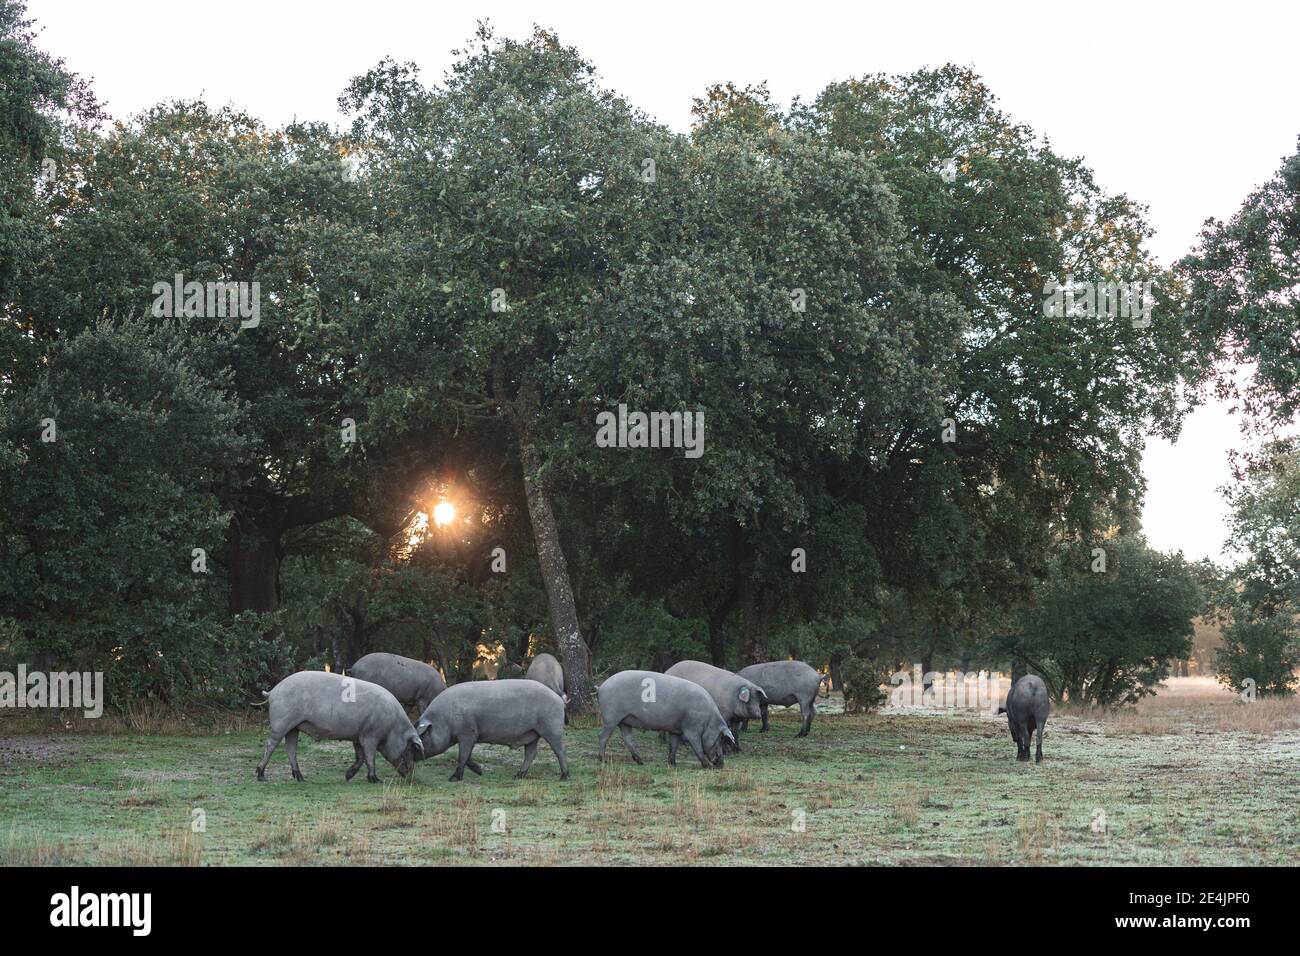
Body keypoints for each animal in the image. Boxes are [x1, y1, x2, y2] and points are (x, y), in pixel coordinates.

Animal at [250, 671, 418, 785]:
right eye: (410, 748)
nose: (410, 772)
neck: (393, 726)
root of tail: (273, 691)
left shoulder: (358, 736)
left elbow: (360, 757)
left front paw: (347, 776)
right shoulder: (370, 736)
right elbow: (370, 757)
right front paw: (376, 780)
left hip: (294, 727)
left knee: (290, 749)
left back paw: (301, 778)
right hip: (281, 723)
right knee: (271, 745)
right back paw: (261, 776)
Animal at [416, 676, 569, 780]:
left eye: (421, 737)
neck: (445, 719)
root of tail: (559, 699)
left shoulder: (468, 733)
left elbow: (463, 756)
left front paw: (453, 779)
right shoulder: (470, 736)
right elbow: (467, 756)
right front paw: (480, 772)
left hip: (551, 728)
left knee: (560, 750)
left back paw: (564, 777)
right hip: (532, 733)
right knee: (530, 754)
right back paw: (517, 776)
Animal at [595, 671, 738, 770]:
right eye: (720, 738)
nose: (721, 765)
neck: (708, 720)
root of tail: (601, 687)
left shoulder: (675, 730)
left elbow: (673, 745)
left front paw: (673, 763)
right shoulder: (691, 729)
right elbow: (697, 747)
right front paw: (707, 766)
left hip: (624, 721)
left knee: (628, 739)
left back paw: (641, 762)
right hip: (611, 717)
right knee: (602, 736)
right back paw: (603, 760)